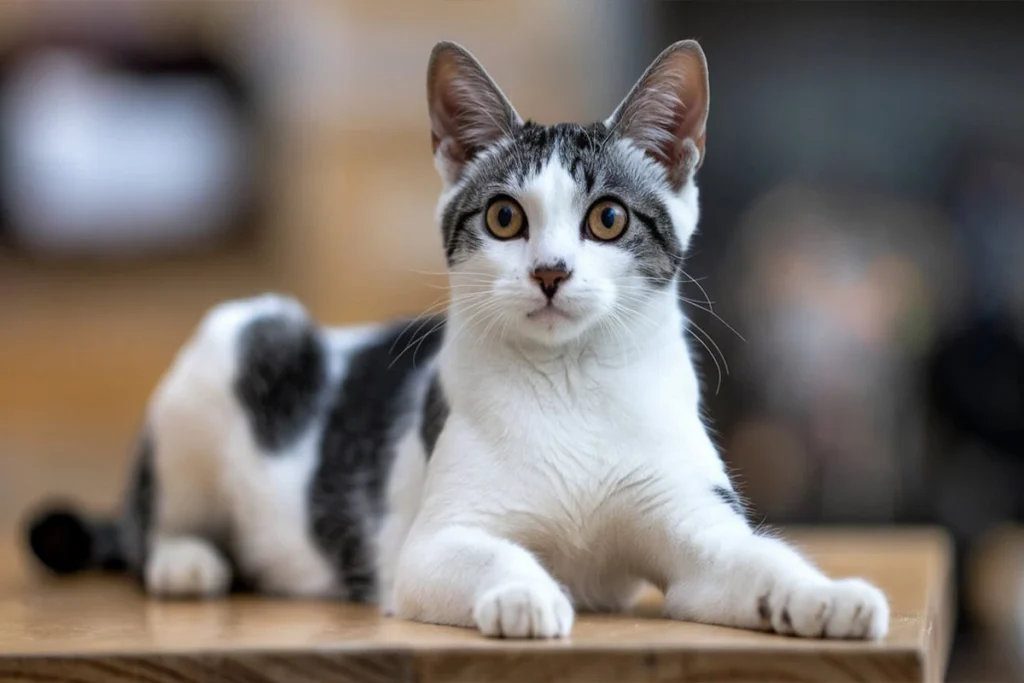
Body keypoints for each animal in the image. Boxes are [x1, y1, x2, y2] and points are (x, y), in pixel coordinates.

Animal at [24, 41, 888, 643]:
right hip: (239, 336)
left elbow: (755, 559)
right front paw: (527, 591)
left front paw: (828, 594)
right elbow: (490, 552)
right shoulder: (432, 542)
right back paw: (188, 558)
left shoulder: (698, 530)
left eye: (608, 217)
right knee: (152, 522)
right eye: (505, 216)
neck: (570, 383)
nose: (549, 270)